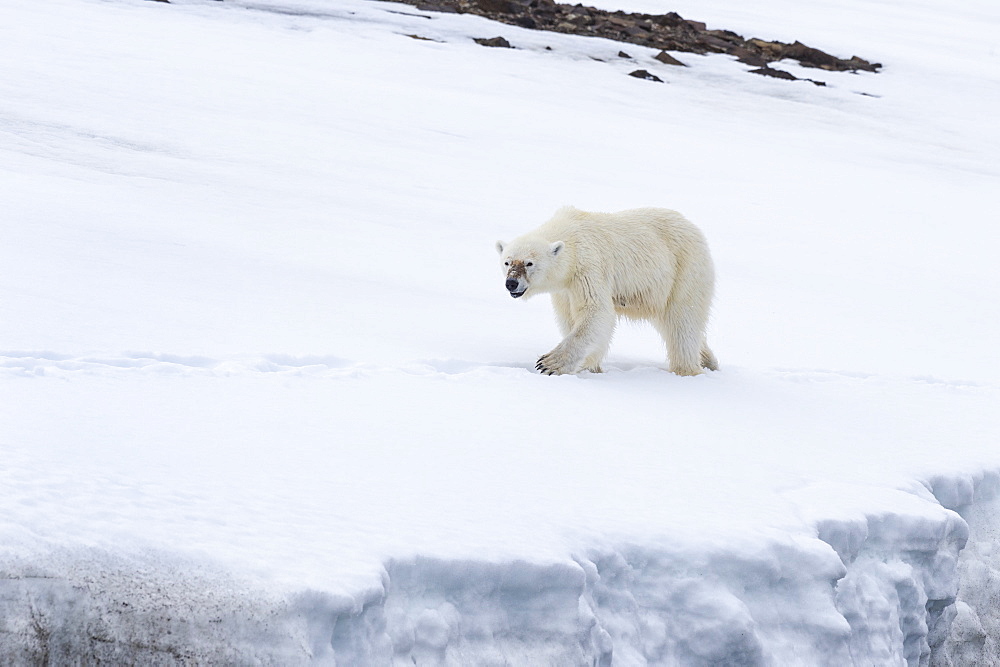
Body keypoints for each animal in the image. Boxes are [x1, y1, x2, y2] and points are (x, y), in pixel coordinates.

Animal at [494, 207, 716, 376]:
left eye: (529, 263)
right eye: (507, 262)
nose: (511, 283)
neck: (570, 236)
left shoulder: (588, 266)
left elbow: (595, 311)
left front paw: (549, 364)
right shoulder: (565, 288)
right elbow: (570, 316)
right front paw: (590, 366)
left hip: (684, 270)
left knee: (682, 323)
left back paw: (687, 369)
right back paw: (709, 360)